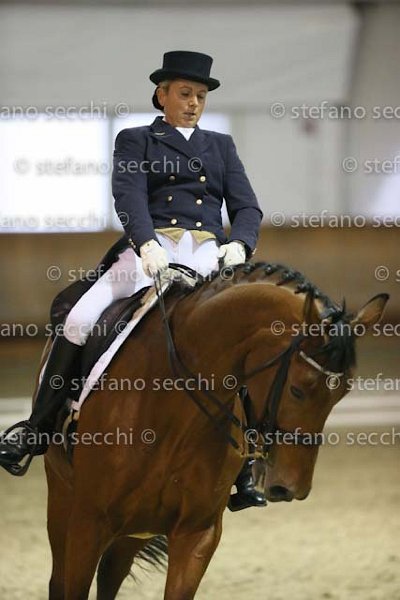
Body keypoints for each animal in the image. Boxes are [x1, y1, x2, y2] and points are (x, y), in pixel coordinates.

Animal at [37, 261, 388, 599]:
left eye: (343, 392)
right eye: (298, 390)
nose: (291, 488)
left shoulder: (198, 533)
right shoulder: (89, 522)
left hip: (136, 529)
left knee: (111, 575)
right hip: (63, 499)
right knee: (59, 579)